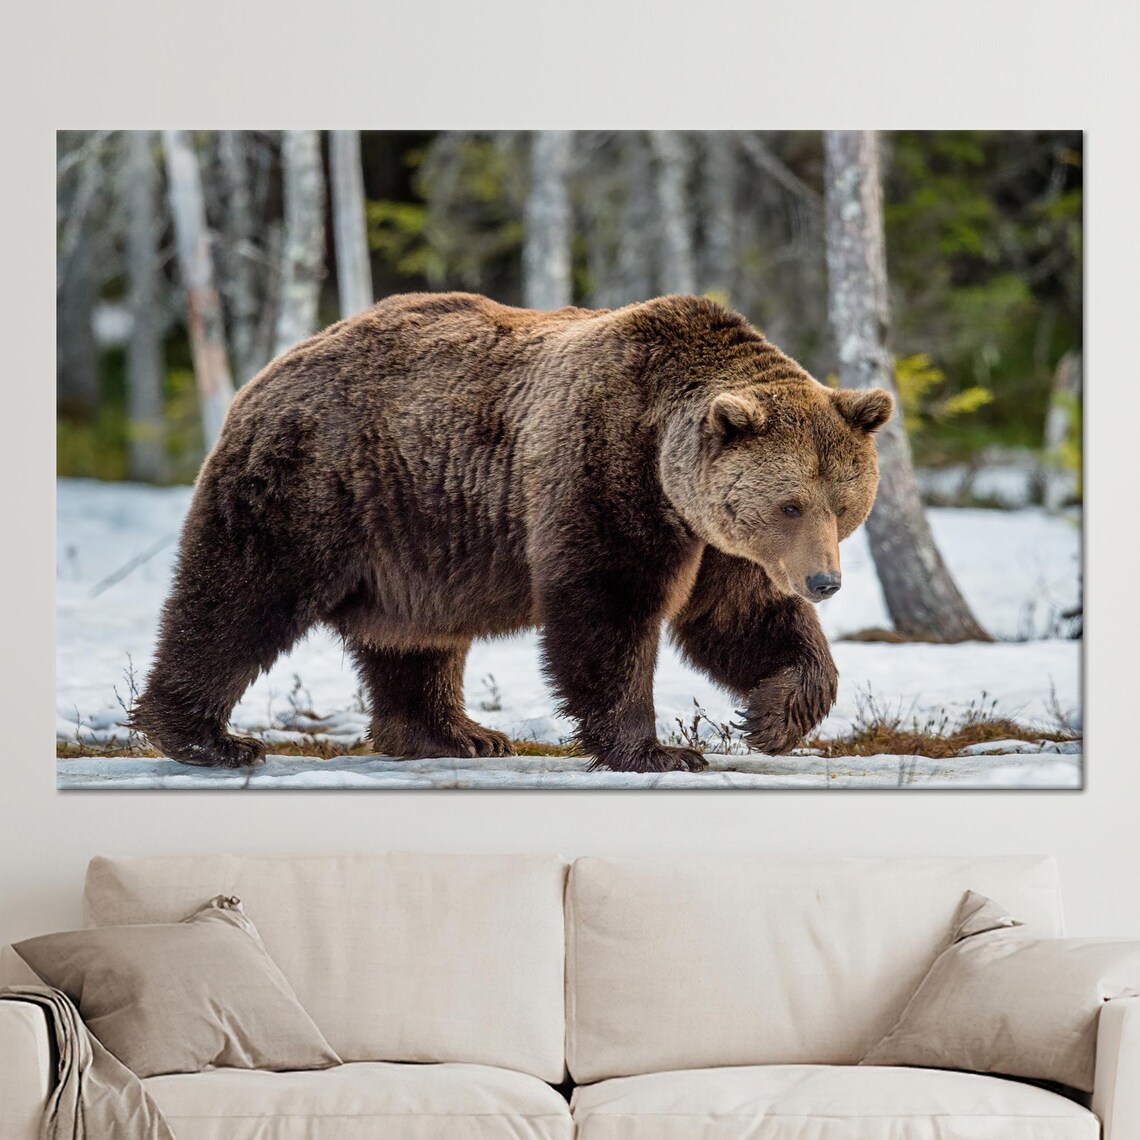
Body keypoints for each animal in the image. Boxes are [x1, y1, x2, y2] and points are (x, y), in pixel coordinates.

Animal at [131, 292, 892, 774]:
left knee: (414, 640)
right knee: (240, 597)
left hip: (412, 538)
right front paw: (659, 750)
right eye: (790, 504)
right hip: (314, 486)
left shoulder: (715, 540)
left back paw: (457, 734)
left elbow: (742, 618)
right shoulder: (604, 471)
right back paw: (206, 736)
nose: (825, 581)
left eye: (843, 502)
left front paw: (771, 716)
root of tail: (269, 371)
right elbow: (608, 610)